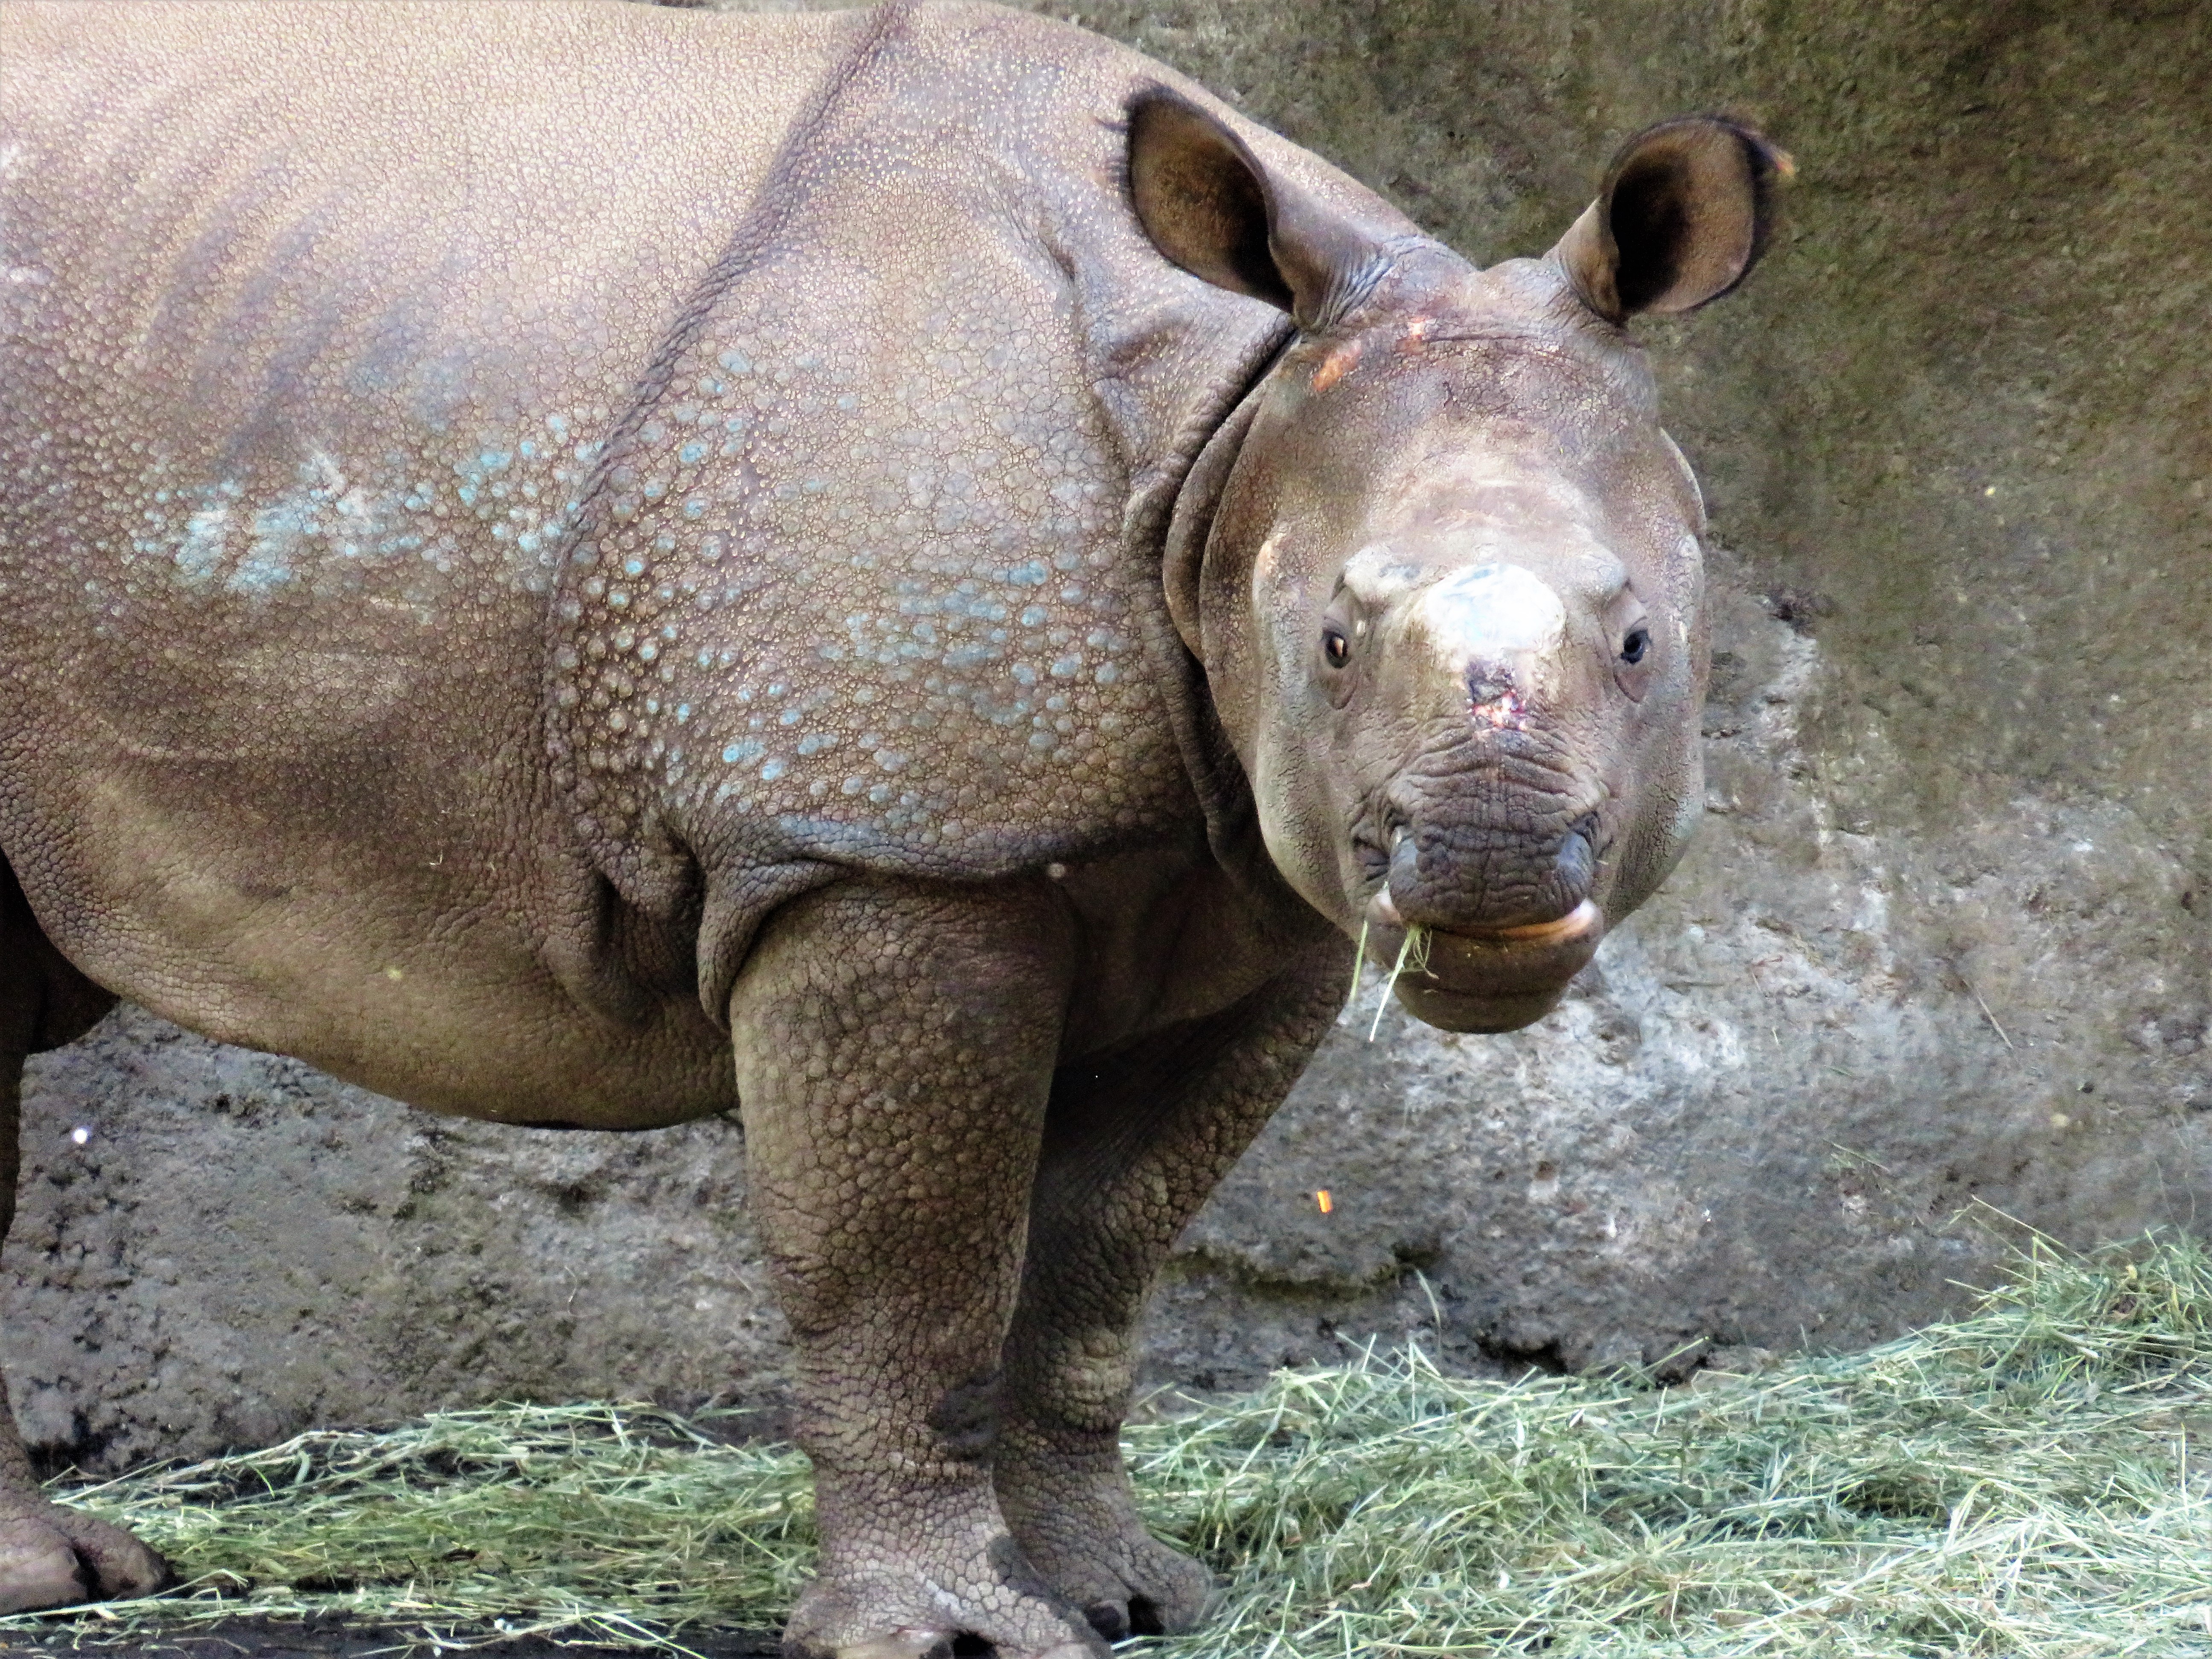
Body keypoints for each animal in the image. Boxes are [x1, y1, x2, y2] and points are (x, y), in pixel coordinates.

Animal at [0, 0, 1781, 1652]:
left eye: (1642, 642)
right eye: (1334, 640)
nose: (1481, 867)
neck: (1226, 428)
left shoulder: (1246, 895)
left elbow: (1099, 1252)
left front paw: (1125, 1592)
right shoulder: (881, 851)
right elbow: (909, 1267)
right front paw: (953, 1628)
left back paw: (75, 1573)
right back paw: (69, 1576)